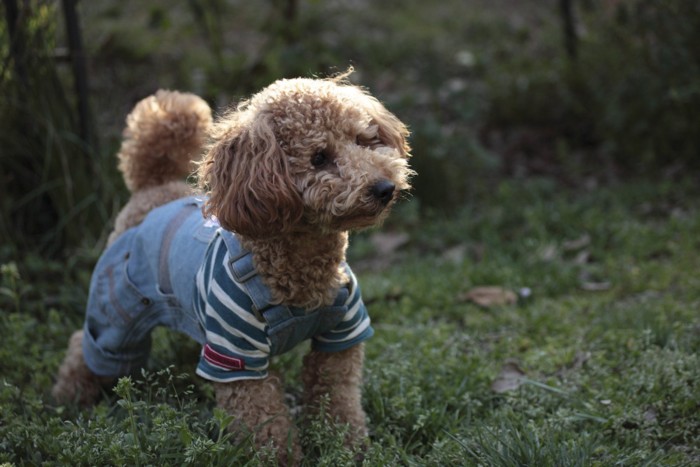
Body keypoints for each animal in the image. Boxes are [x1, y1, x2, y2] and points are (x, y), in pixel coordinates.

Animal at [54, 74, 412, 464]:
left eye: (364, 140)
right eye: (319, 158)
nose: (384, 188)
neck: (299, 272)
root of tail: (154, 188)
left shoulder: (343, 333)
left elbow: (339, 399)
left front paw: (348, 449)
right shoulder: (236, 355)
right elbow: (263, 422)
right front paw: (282, 459)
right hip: (119, 308)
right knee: (88, 346)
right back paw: (67, 398)